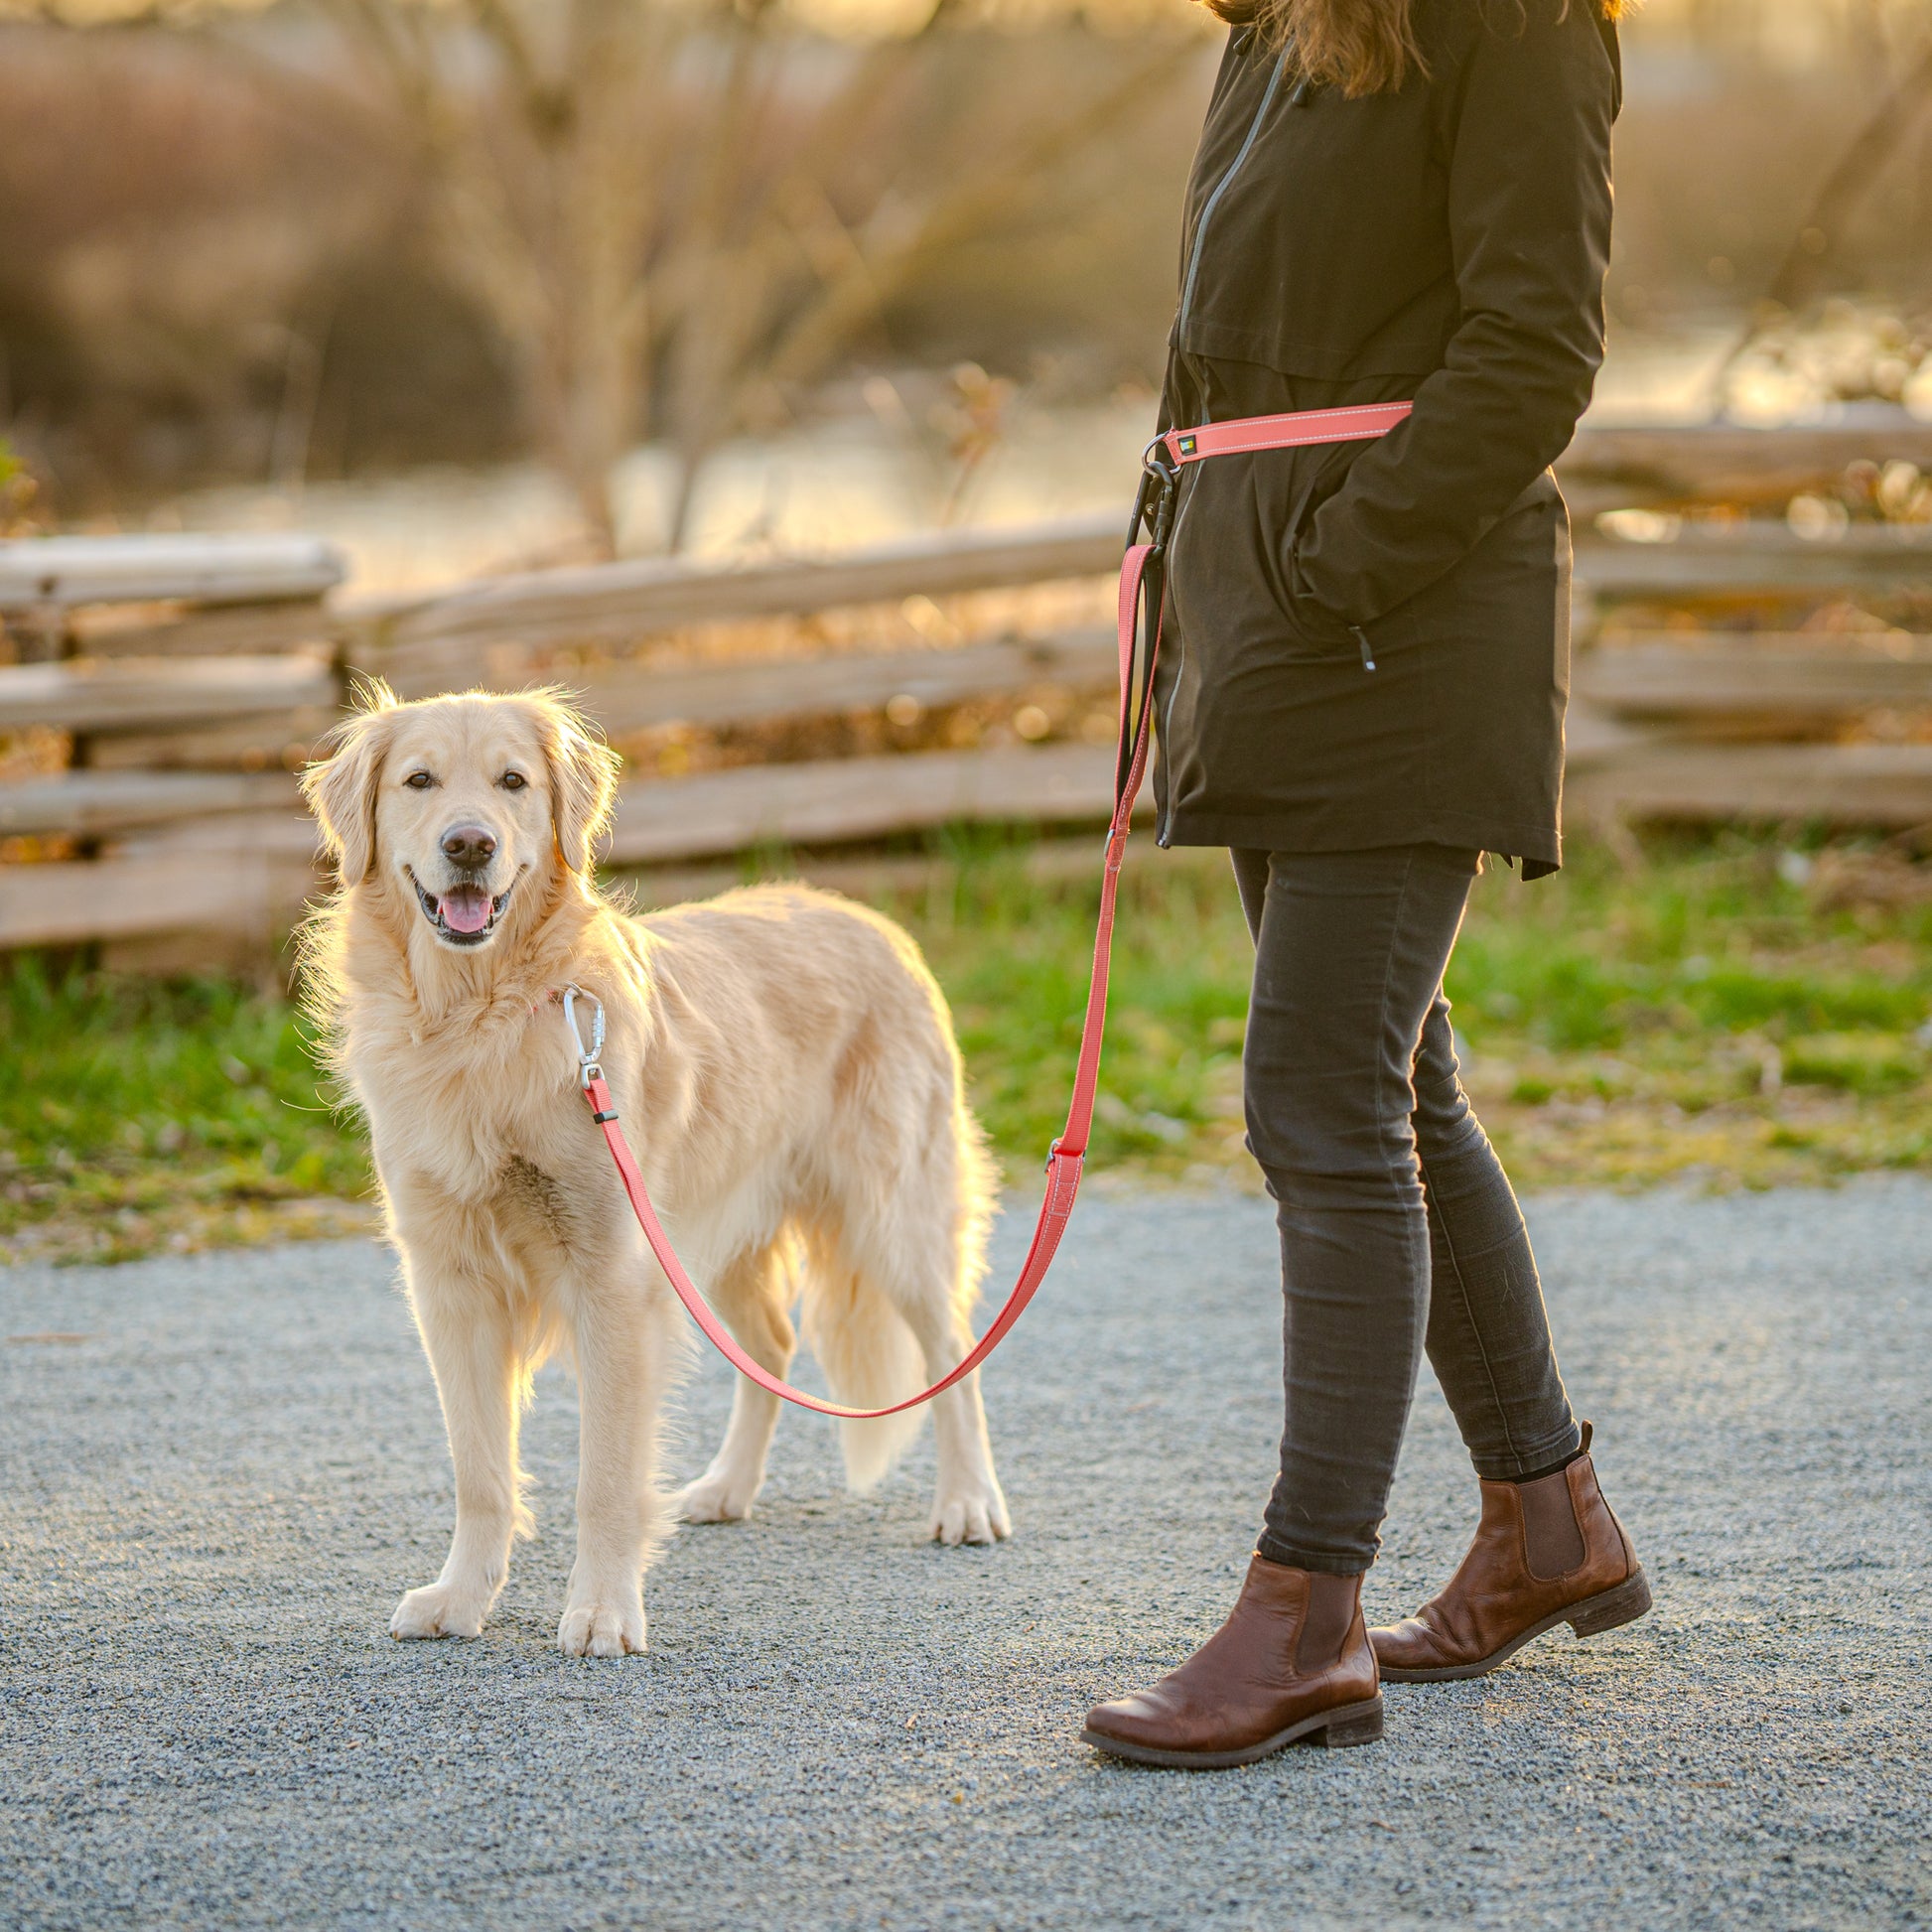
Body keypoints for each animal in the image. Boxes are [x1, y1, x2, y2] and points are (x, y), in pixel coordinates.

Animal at [301, 687, 1012, 1653]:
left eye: (512, 782)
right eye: (419, 781)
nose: (470, 845)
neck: (481, 1018)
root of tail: (875, 922)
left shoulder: (613, 1275)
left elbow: (604, 1475)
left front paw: (603, 1609)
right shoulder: (451, 1283)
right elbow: (481, 1471)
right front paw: (461, 1598)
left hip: (888, 1215)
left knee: (952, 1352)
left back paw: (968, 1501)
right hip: (718, 1233)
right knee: (773, 1347)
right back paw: (726, 1489)